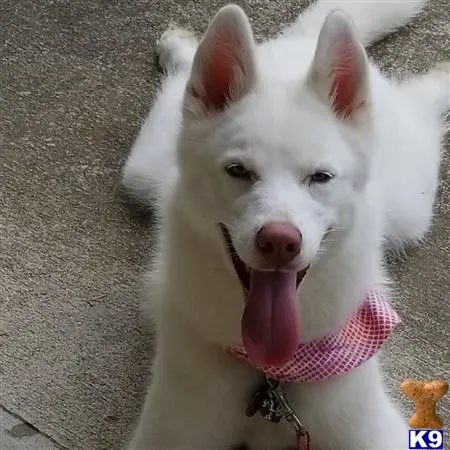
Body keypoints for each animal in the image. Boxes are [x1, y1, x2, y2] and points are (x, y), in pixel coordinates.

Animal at [121, 0, 448, 446]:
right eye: (238, 171)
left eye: (320, 177)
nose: (279, 241)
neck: (273, 377)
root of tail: (297, 47)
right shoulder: (168, 433)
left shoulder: (376, 432)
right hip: (143, 172)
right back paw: (181, 51)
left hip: (411, 206)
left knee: (420, 105)